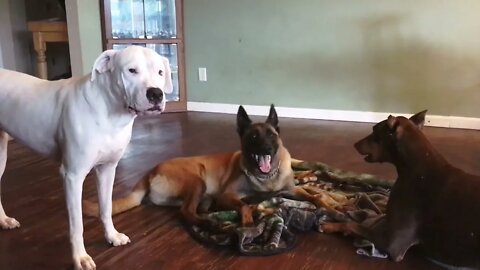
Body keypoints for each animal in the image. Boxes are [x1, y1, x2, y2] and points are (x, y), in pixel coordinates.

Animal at [0, 45, 172, 268]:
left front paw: (112, 236)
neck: (110, 112)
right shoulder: (72, 176)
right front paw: (80, 257)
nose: (156, 94)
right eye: (131, 70)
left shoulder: (107, 170)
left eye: (160, 72)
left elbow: (106, 208)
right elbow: (77, 225)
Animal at [83, 105, 338, 226]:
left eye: (270, 135)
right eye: (253, 137)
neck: (267, 179)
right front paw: (247, 222)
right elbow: (244, 206)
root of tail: (150, 171)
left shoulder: (290, 190)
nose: (266, 149)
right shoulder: (227, 195)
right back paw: (210, 223)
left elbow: (313, 196)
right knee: (186, 212)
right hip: (198, 182)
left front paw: (331, 207)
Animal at [320, 110, 480, 268]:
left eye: (374, 130)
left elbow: (355, 225)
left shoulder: (394, 245)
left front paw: (331, 225)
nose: (355, 144)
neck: (417, 166)